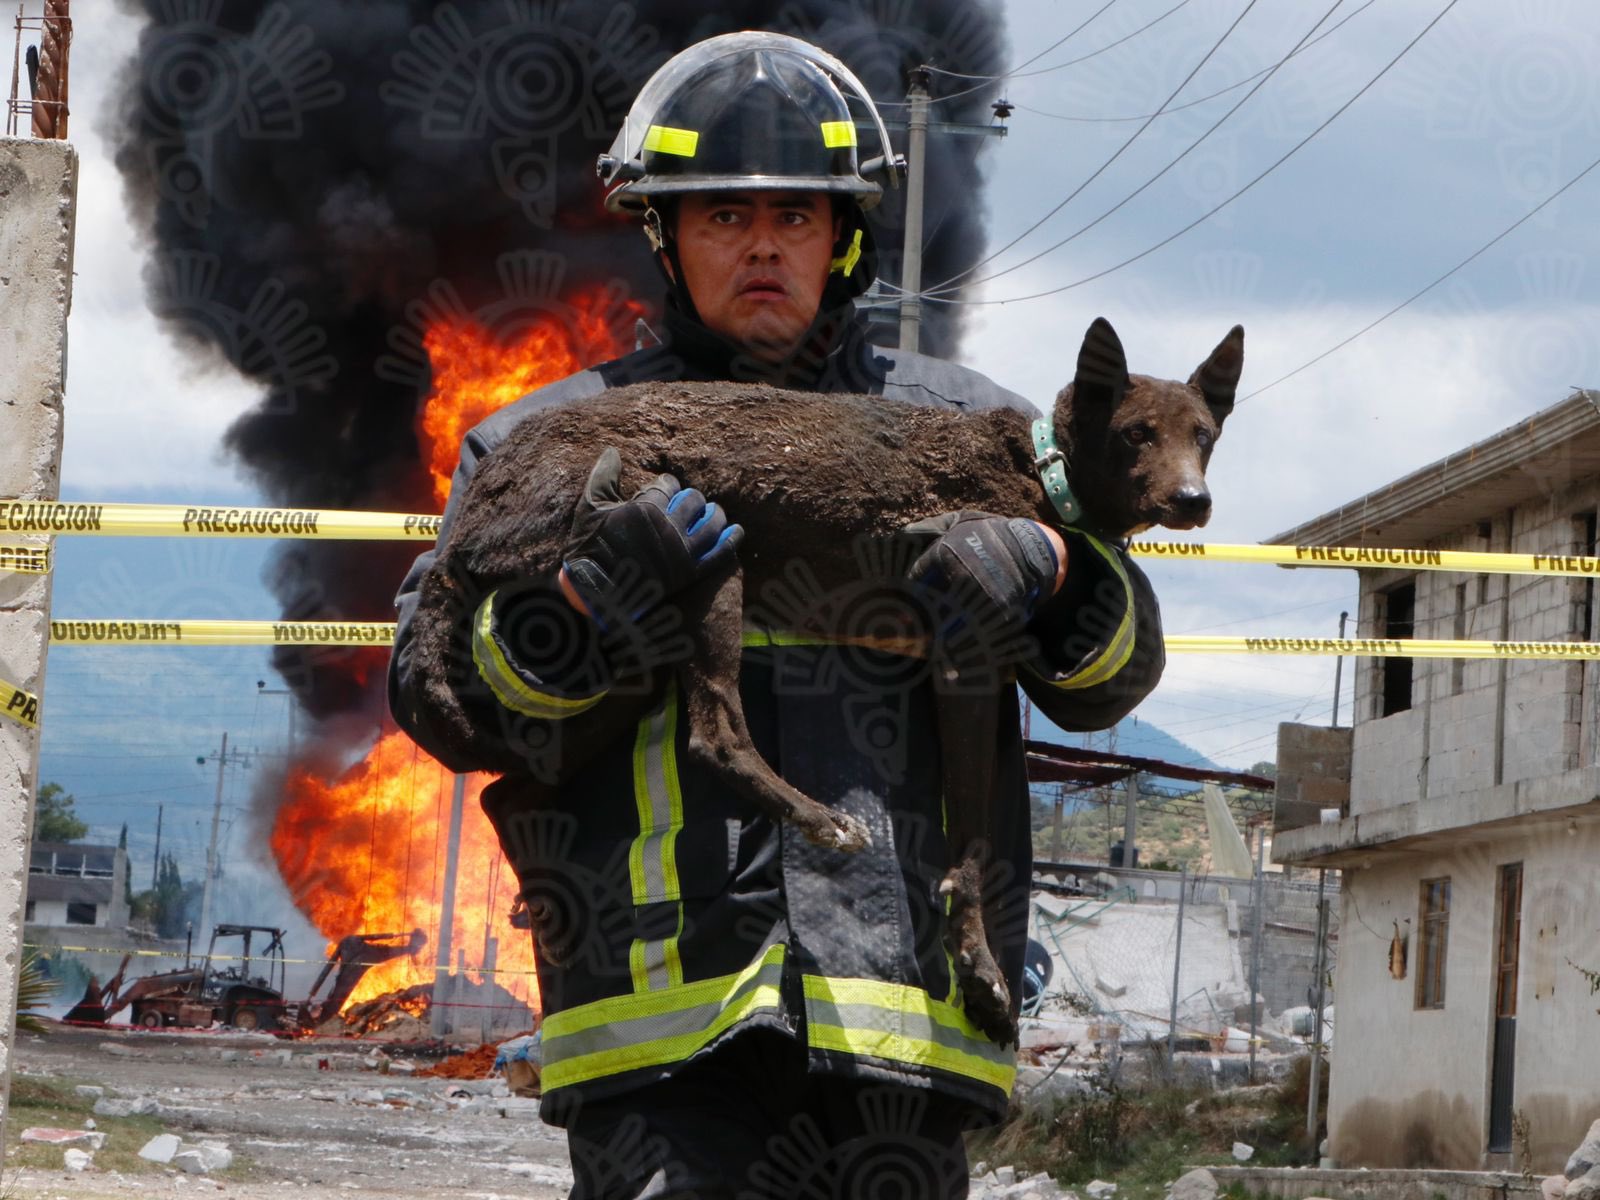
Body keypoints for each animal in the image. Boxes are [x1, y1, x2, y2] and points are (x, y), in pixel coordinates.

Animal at [409, 316, 1235, 1043]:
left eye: (1204, 435)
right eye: (1137, 433)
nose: (1196, 501)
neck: (1042, 466)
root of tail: (463, 524)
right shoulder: (964, 653)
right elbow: (970, 846)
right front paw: (982, 975)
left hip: (635, 646)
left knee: (516, 787)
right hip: (697, 552)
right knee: (714, 736)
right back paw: (822, 820)